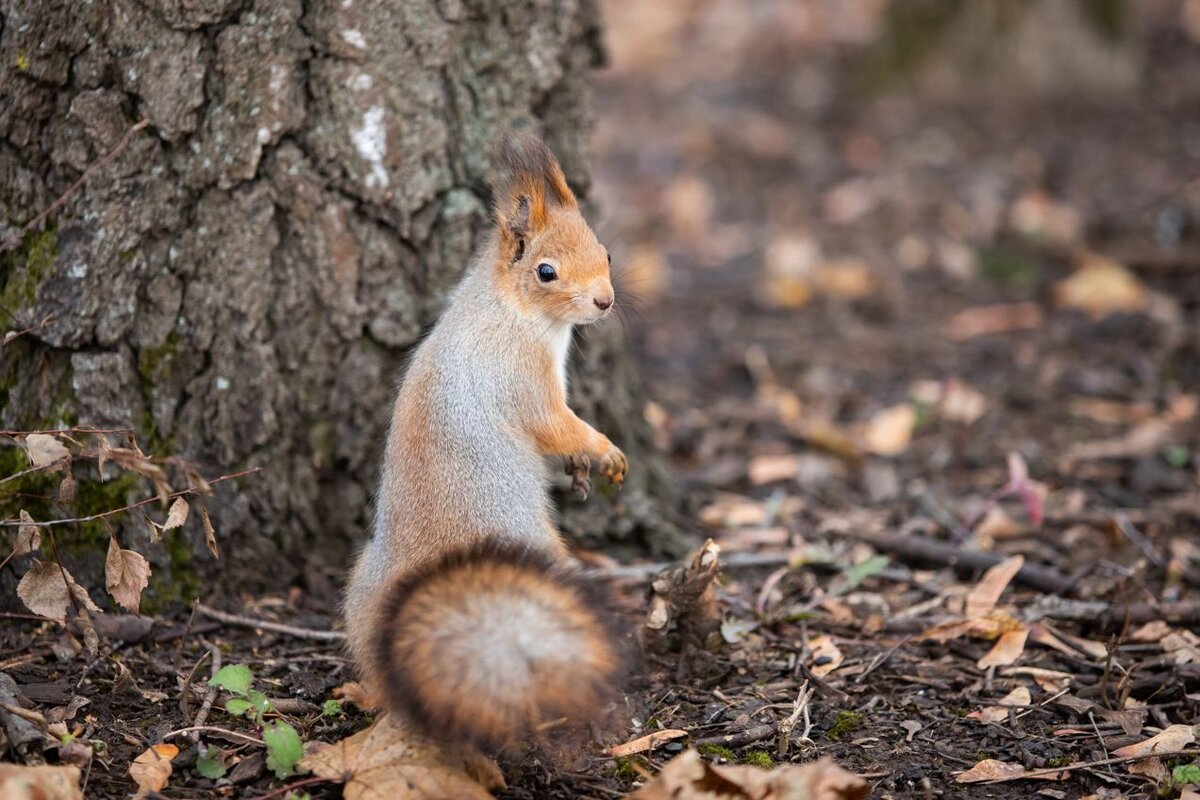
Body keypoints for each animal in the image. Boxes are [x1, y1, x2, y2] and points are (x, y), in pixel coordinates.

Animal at [343, 128, 628, 748]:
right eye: (545, 272)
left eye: (607, 252)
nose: (604, 301)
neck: (510, 310)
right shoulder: (522, 377)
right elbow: (554, 423)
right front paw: (602, 451)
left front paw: (580, 466)